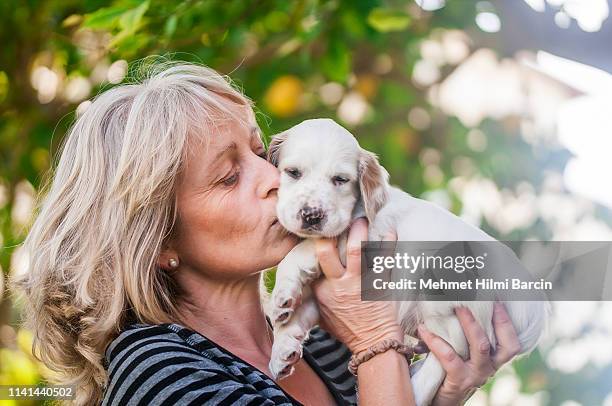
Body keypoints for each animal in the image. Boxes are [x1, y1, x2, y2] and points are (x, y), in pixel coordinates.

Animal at [262, 118, 548, 406]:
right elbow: (301, 313)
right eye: (293, 172)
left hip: (440, 287)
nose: (312, 215)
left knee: (452, 350)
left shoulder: (360, 239)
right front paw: (283, 345)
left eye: (340, 180)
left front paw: (281, 297)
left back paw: (417, 389)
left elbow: (302, 251)